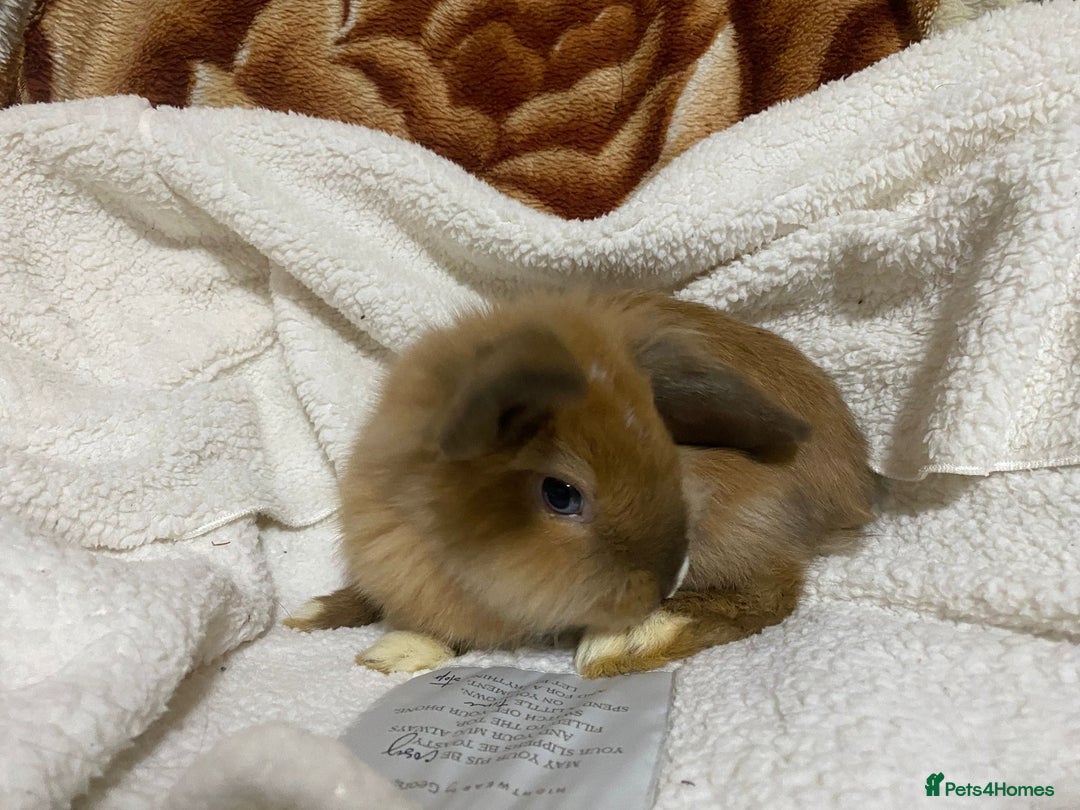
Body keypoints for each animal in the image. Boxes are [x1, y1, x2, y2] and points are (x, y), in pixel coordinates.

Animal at [285, 290, 876, 678]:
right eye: (561, 495)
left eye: (668, 451)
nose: (668, 577)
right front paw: (310, 616)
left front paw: (396, 651)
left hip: (736, 526)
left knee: (773, 593)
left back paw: (626, 645)